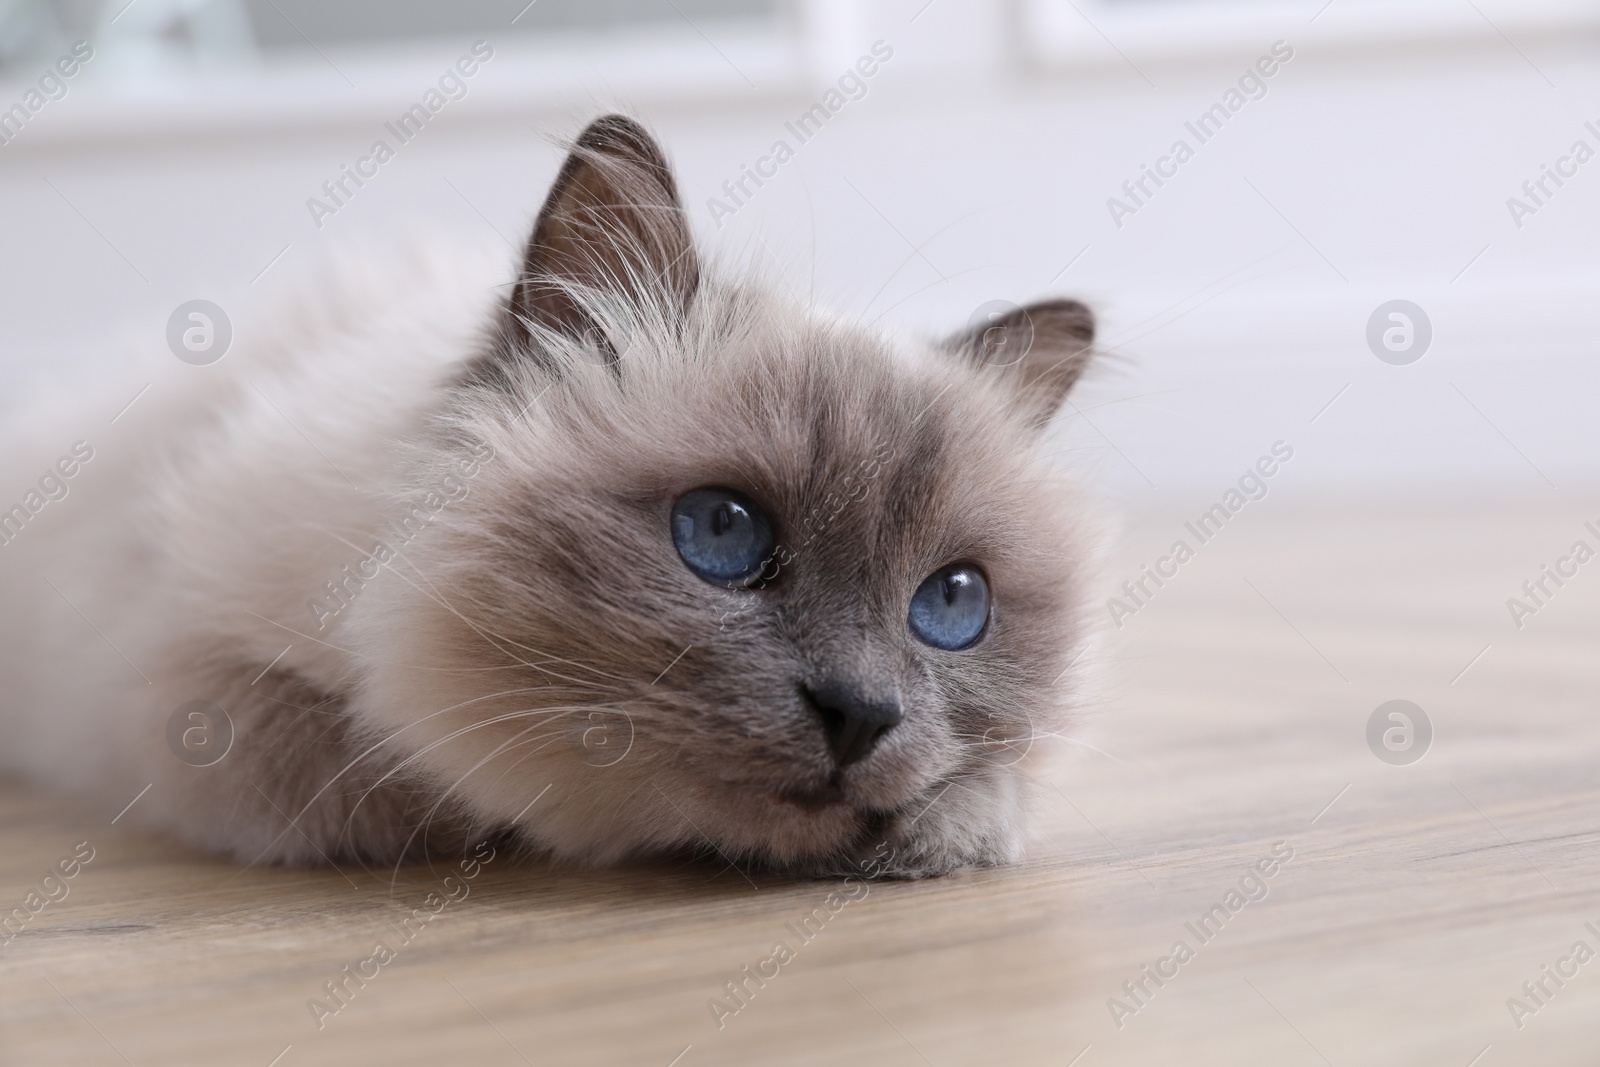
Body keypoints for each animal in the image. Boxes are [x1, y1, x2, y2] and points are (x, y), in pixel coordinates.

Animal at [0, 116, 1100, 883]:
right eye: (721, 532)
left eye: (951, 605)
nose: (861, 713)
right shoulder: (179, 674)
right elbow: (387, 769)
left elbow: (985, 796)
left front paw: (946, 825)